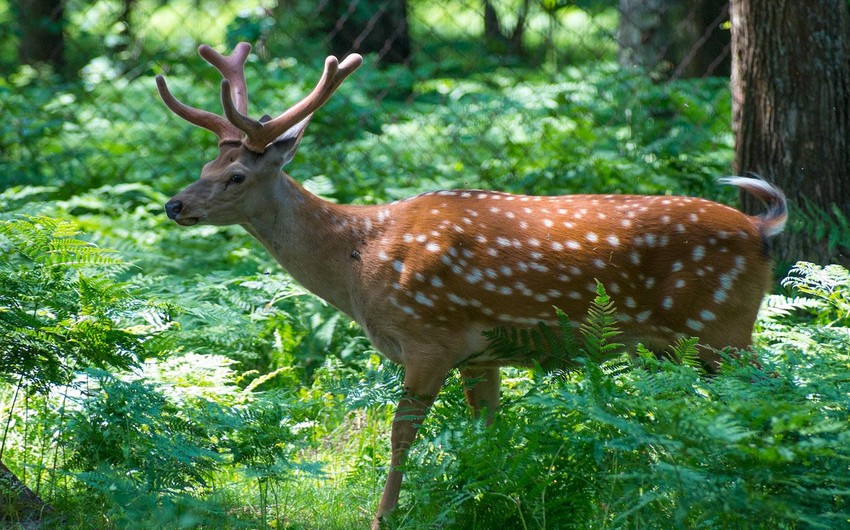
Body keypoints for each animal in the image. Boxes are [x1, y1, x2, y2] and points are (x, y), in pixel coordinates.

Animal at [154, 43, 788, 524]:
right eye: (205, 167)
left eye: (236, 176)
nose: (174, 205)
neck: (359, 263)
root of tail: (762, 228)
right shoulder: (480, 353)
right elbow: (487, 433)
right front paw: (488, 495)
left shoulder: (429, 335)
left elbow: (401, 435)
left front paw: (386, 515)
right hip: (688, 341)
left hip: (721, 324)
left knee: (778, 391)